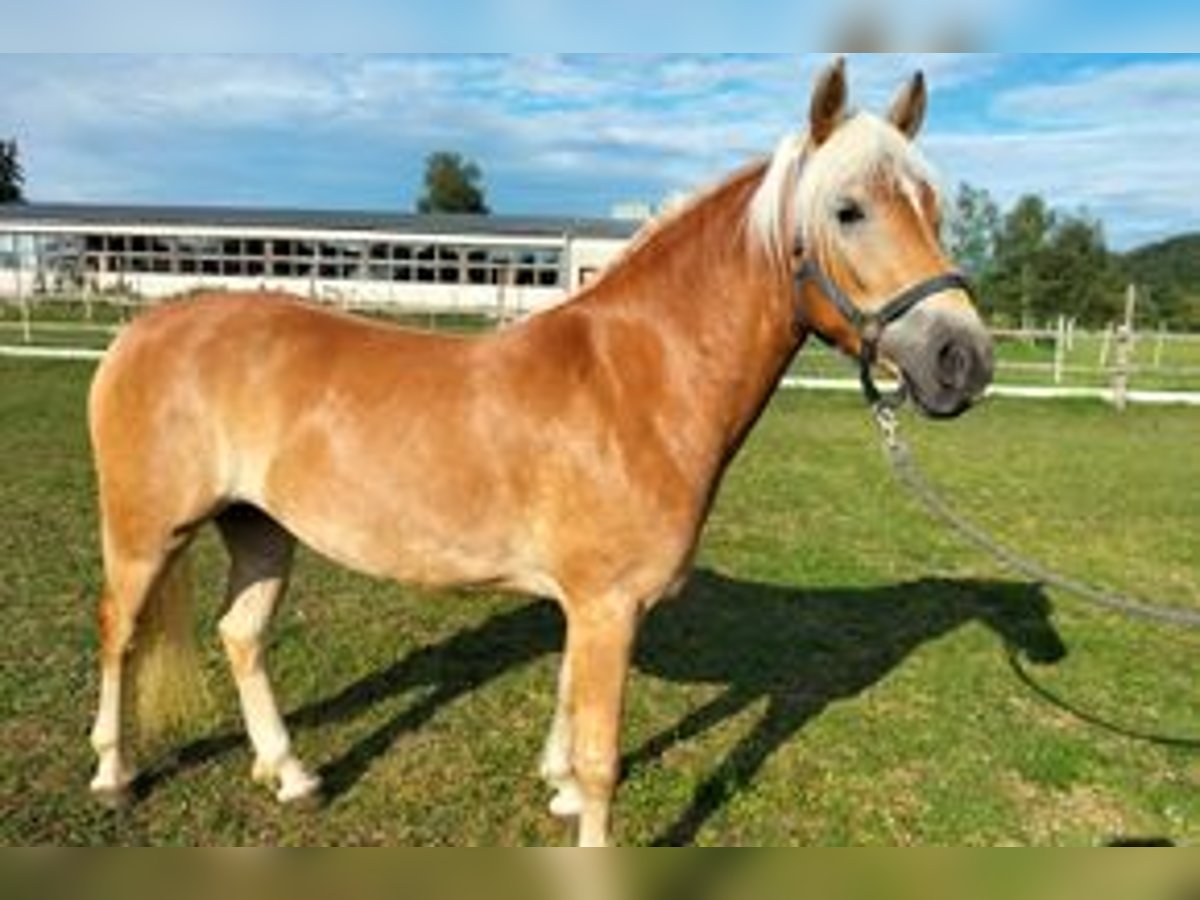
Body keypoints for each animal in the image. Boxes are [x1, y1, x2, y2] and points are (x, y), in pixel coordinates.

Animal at [87, 60, 993, 849]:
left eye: (932, 207)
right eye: (849, 210)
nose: (964, 360)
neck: (637, 381)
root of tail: (140, 331)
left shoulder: (589, 605)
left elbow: (566, 709)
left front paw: (553, 787)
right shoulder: (607, 606)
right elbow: (602, 760)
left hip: (260, 529)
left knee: (241, 636)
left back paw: (291, 775)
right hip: (147, 535)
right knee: (118, 634)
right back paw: (114, 775)